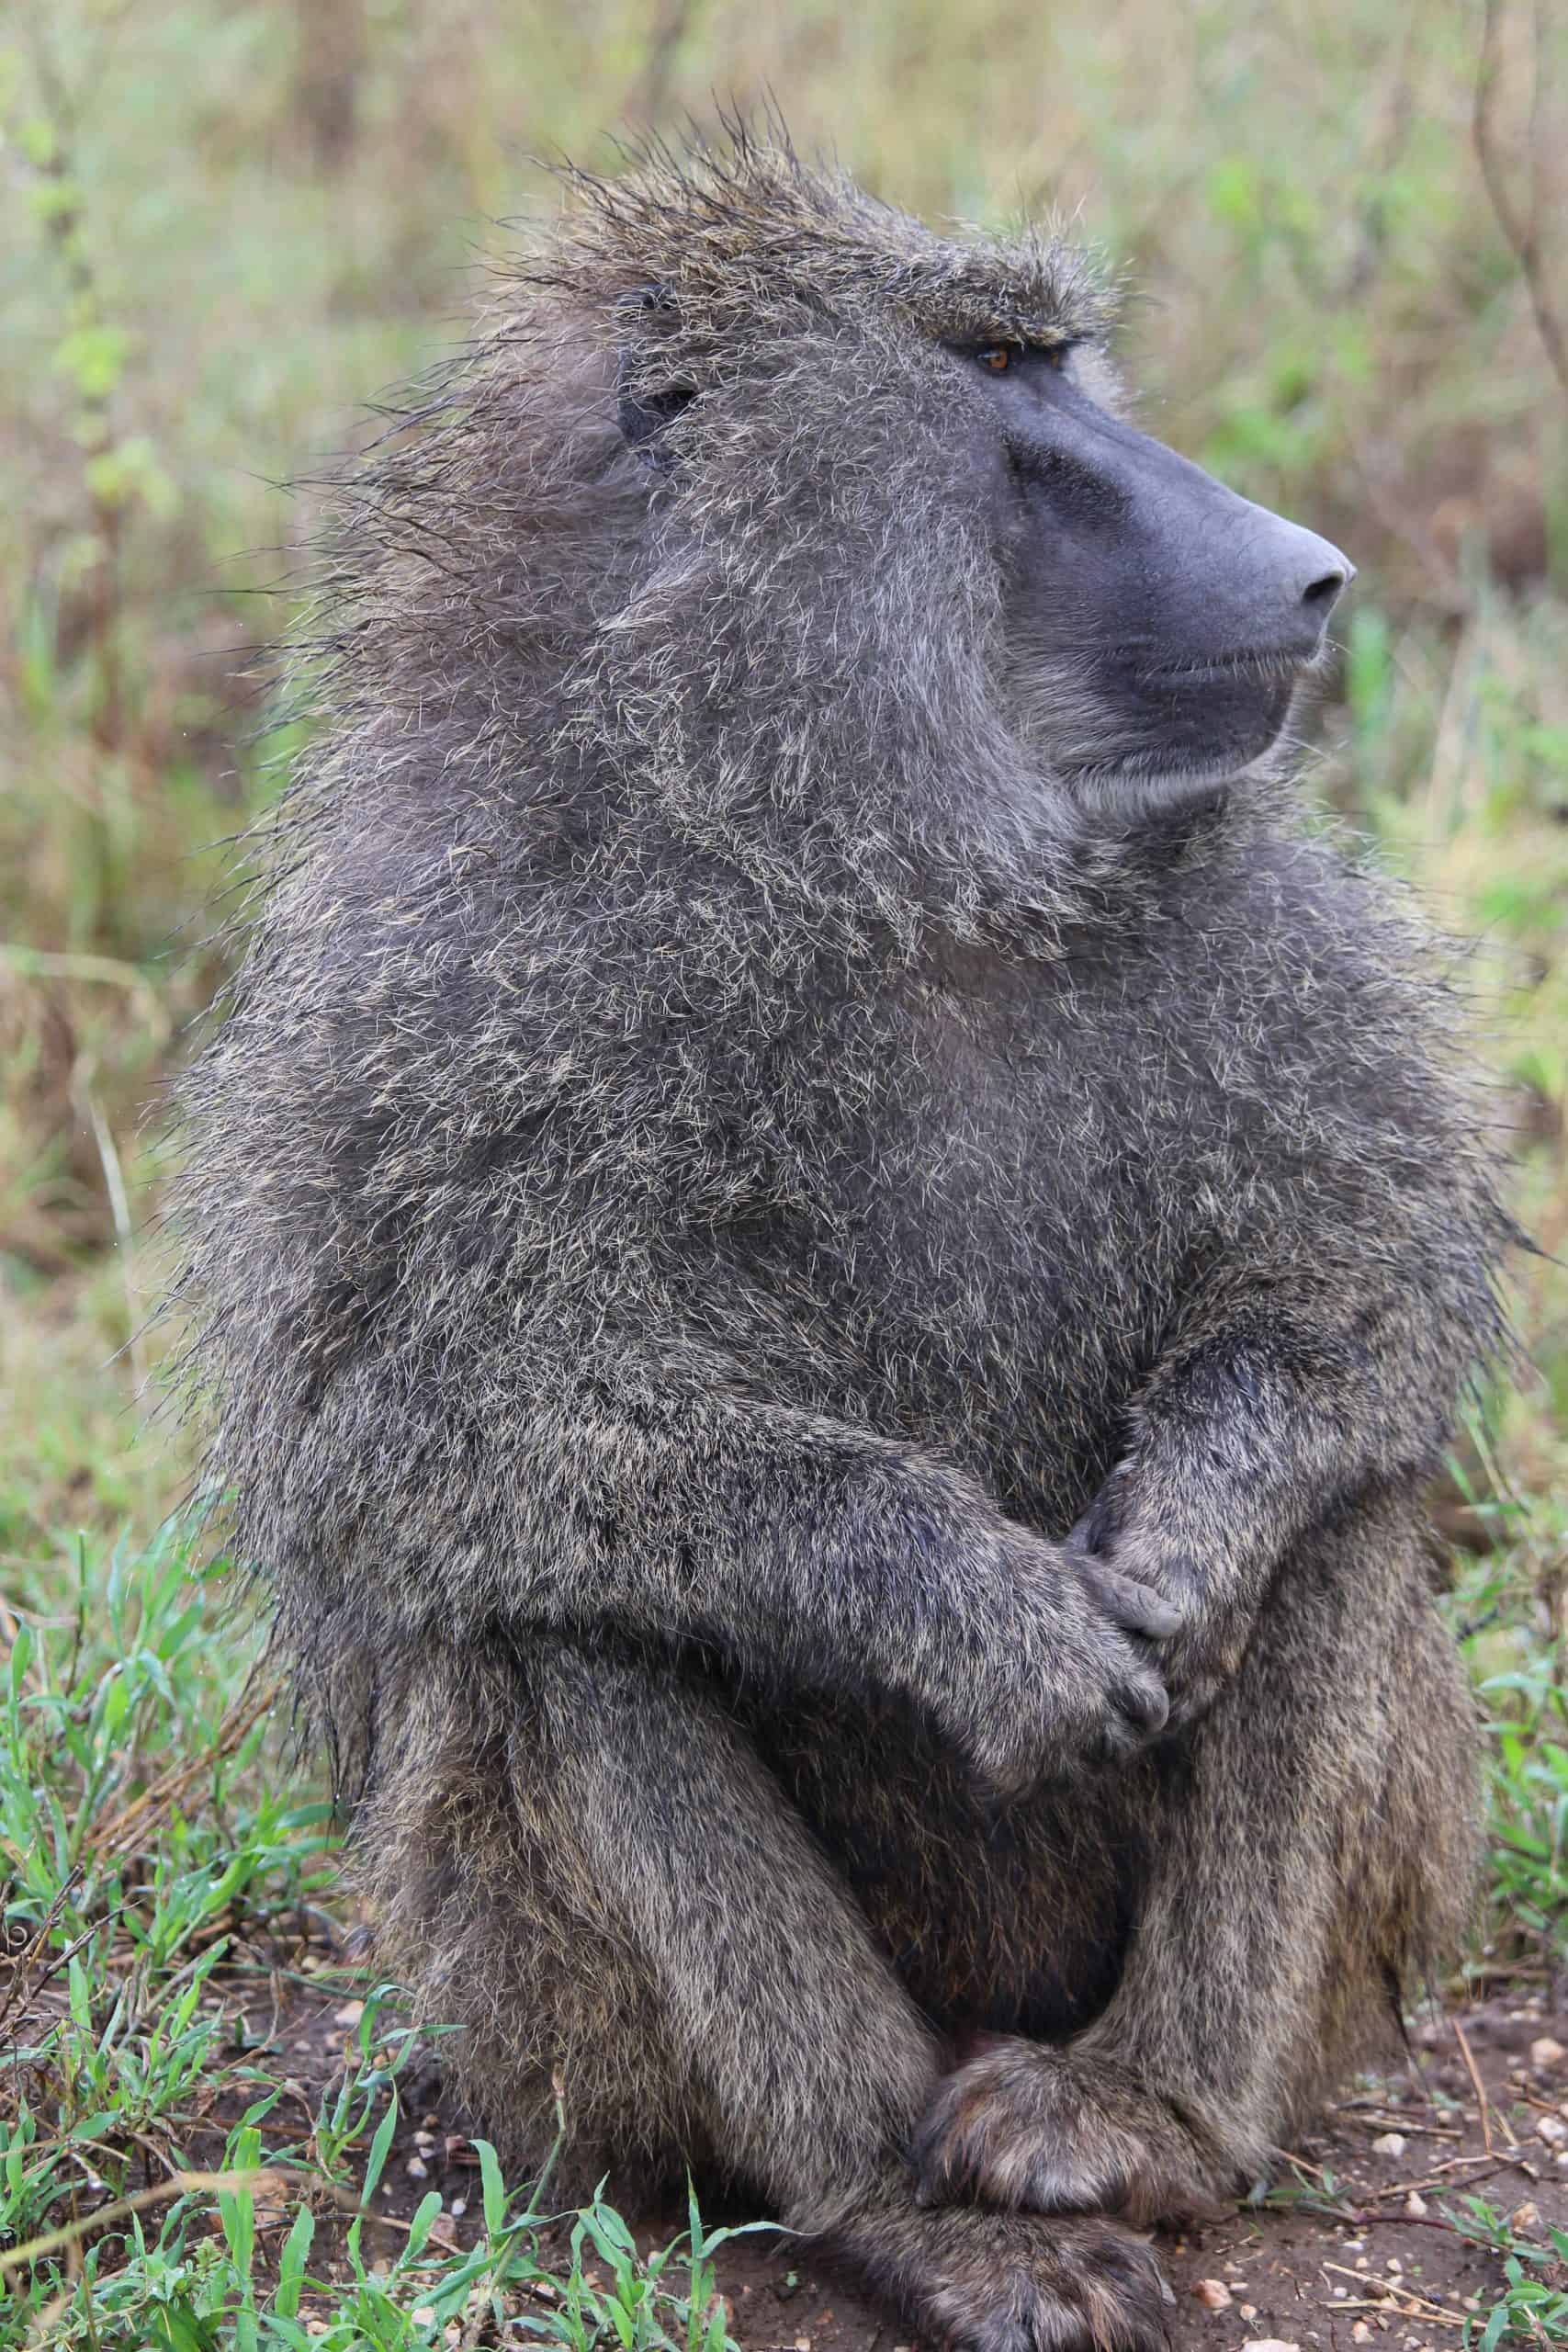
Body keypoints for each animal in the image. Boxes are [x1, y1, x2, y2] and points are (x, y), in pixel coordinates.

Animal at [170, 128, 1511, 2352]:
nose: (1310, 568)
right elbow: (396, 1439)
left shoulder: (1249, 923)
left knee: (1339, 1520)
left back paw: (1139, 2116)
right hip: (571, 2036)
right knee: (555, 1622)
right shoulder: (421, 985)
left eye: (1055, 354)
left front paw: (1182, 1527)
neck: (862, 846)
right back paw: (913, 2206)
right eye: (995, 370)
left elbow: (1361, 1289)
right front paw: (964, 1604)